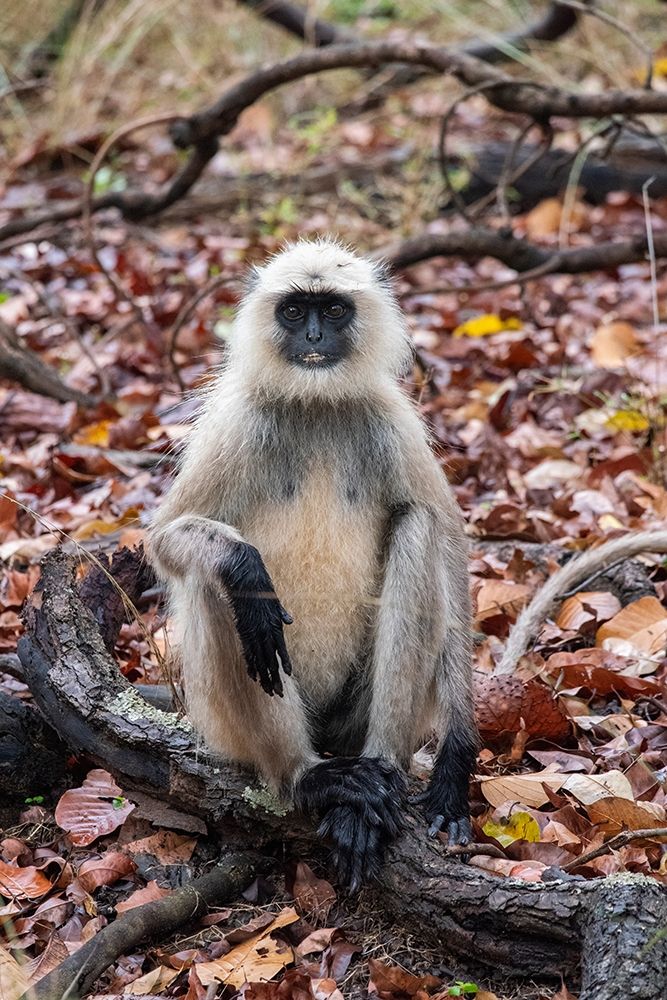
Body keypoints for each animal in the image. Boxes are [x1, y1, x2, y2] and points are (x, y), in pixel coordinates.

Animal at [148, 236, 478, 892]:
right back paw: (309, 778)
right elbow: (165, 542)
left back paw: (377, 777)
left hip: (351, 716)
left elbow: (450, 552)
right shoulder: (238, 422)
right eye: (296, 311)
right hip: (223, 724)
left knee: (418, 527)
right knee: (222, 588)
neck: (316, 405)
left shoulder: (390, 420)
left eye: (334, 309)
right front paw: (244, 567)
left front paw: (454, 764)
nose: (316, 337)